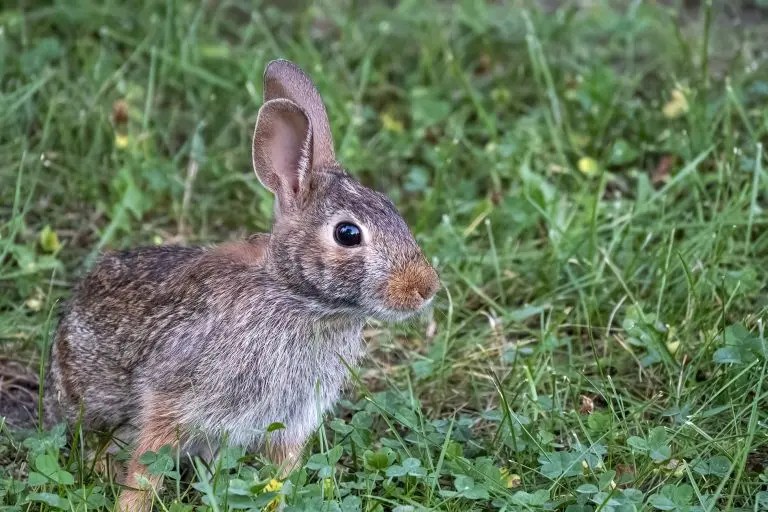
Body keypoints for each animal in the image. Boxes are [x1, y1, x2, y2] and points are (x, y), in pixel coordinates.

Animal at [45, 59, 440, 512]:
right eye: (347, 234)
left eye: (392, 208)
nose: (426, 287)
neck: (296, 297)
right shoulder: (171, 402)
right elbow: (146, 469)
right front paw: (130, 506)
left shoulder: (290, 422)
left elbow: (282, 475)